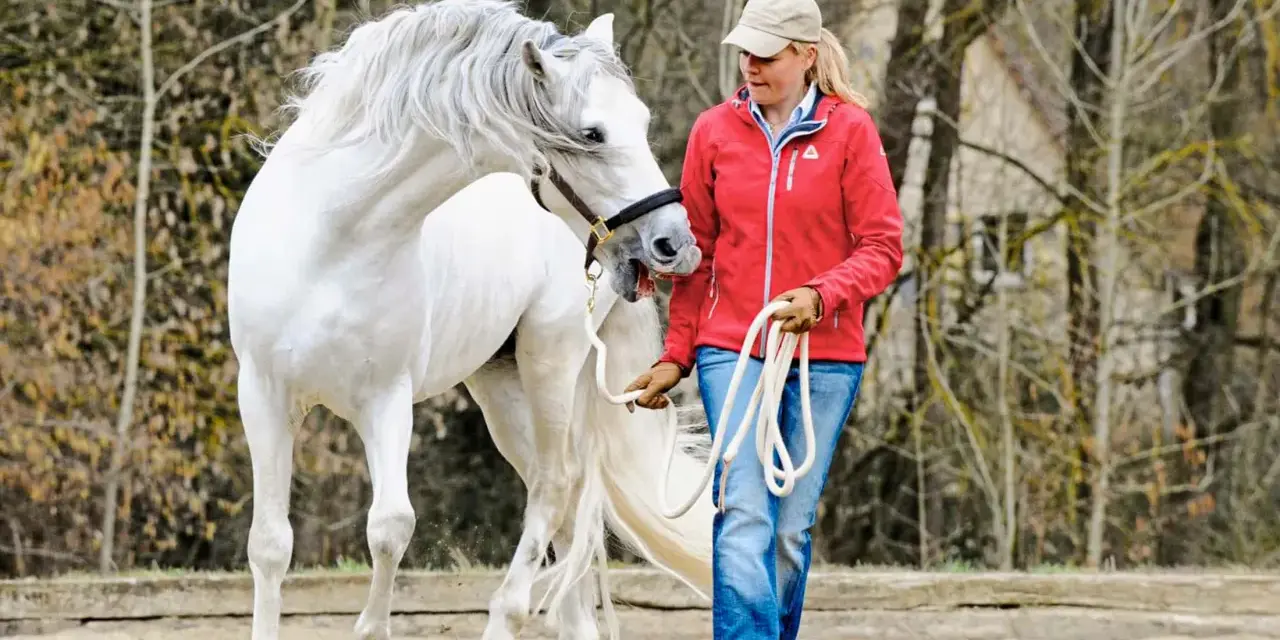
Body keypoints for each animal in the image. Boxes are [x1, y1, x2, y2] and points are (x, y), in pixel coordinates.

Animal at [227, 2, 701, 638]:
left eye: (643, 120)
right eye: (591, 133)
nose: (674, 242)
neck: (331, 235)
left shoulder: (386, 399)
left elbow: (390, 527)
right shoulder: (264, 395)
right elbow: (271, 545)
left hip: (549, 362)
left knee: (554, 486)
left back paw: (507, 611)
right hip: (500, 385)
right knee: (564, 511)